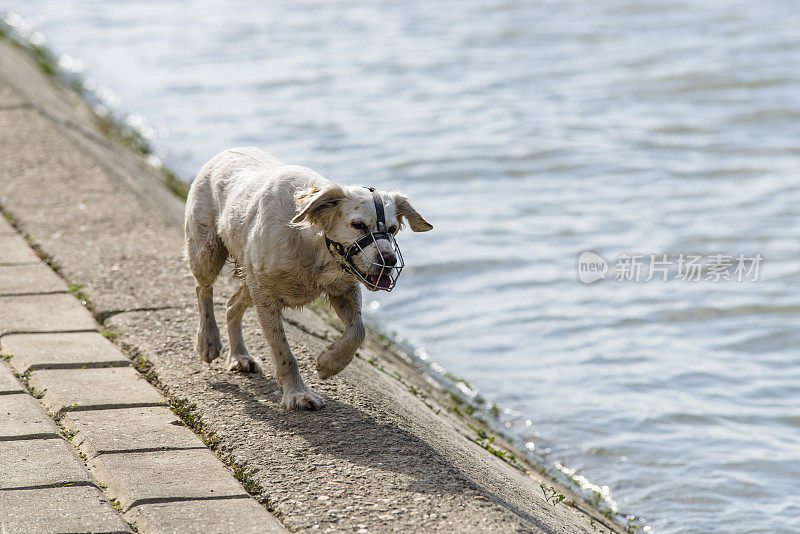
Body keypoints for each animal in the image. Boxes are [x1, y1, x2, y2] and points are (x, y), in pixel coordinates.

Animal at [184, 149, 432, 412]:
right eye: (358, 225)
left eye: (392, 229)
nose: (390, 260)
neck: (312, 245)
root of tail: (225, 151)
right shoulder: (265, 293)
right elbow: (283, 351)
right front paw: (298, 394)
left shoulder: (343, 288)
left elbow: (358, 331)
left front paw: (329, 363)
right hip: (207, 253)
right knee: (203, 289)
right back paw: (208, 340)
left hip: (248, 278)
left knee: (231, 305)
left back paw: (240, 356)